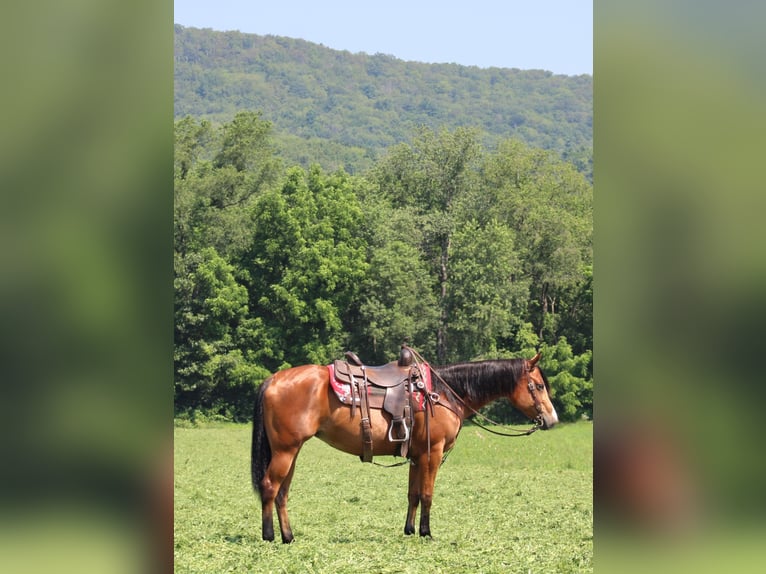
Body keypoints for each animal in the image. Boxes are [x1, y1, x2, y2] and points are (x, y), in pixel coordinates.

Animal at [251, 350, 558, 543]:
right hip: (285, 451)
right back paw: (269, 536)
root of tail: (273, 379)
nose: (552, 419)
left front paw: (409, 529)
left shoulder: (416, 456)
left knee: (282, 494)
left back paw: (288, 536)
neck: (443, 393)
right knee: (269, 487)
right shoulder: (433, 453)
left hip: (291, 452)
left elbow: (413, 495)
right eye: (539, 386)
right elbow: (427, 494)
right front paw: (426, 532)